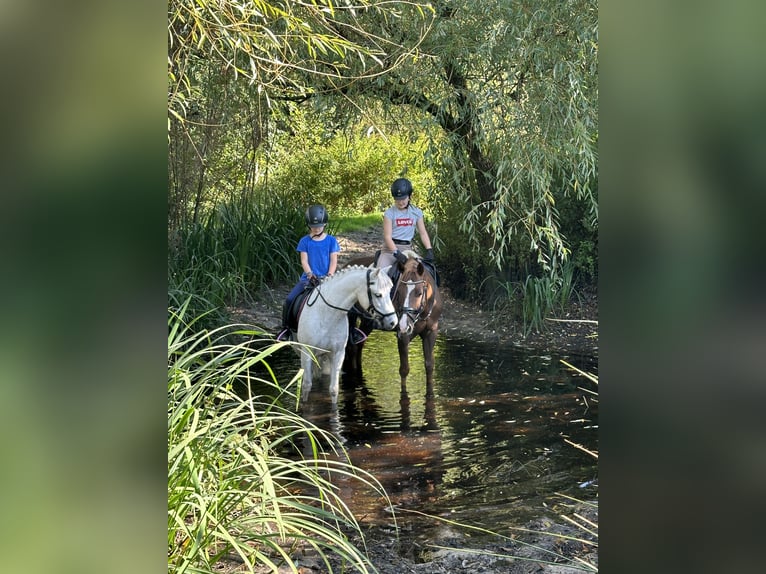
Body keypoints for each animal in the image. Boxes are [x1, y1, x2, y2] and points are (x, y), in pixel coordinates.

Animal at [348, 252, 444, 392]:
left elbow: (429, 366)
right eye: (399, 292)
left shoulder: (431, 332)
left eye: (419, 293)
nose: (404, 325)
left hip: (367, 323)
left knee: (358, 345)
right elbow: (404, 370)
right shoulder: (403, 336)